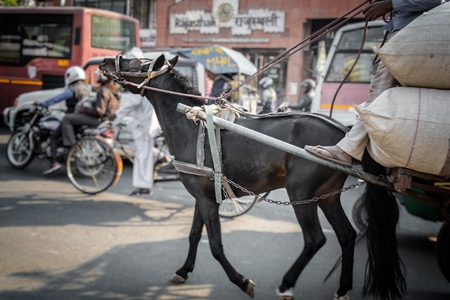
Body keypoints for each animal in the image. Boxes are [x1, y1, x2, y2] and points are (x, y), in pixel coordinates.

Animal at [100, 54, 406, 300]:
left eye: (136, 63)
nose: (105, 61)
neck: (191, 123)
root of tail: (342, 134)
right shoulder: (203, 196)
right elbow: (193, 235)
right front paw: (184, 271)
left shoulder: (209, 201)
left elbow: (215, 246)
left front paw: (241, 280)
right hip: (326, 196)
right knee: (346, 235)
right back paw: (342, 289)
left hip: (301, 193)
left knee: (315, 239)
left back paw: (286, 283)